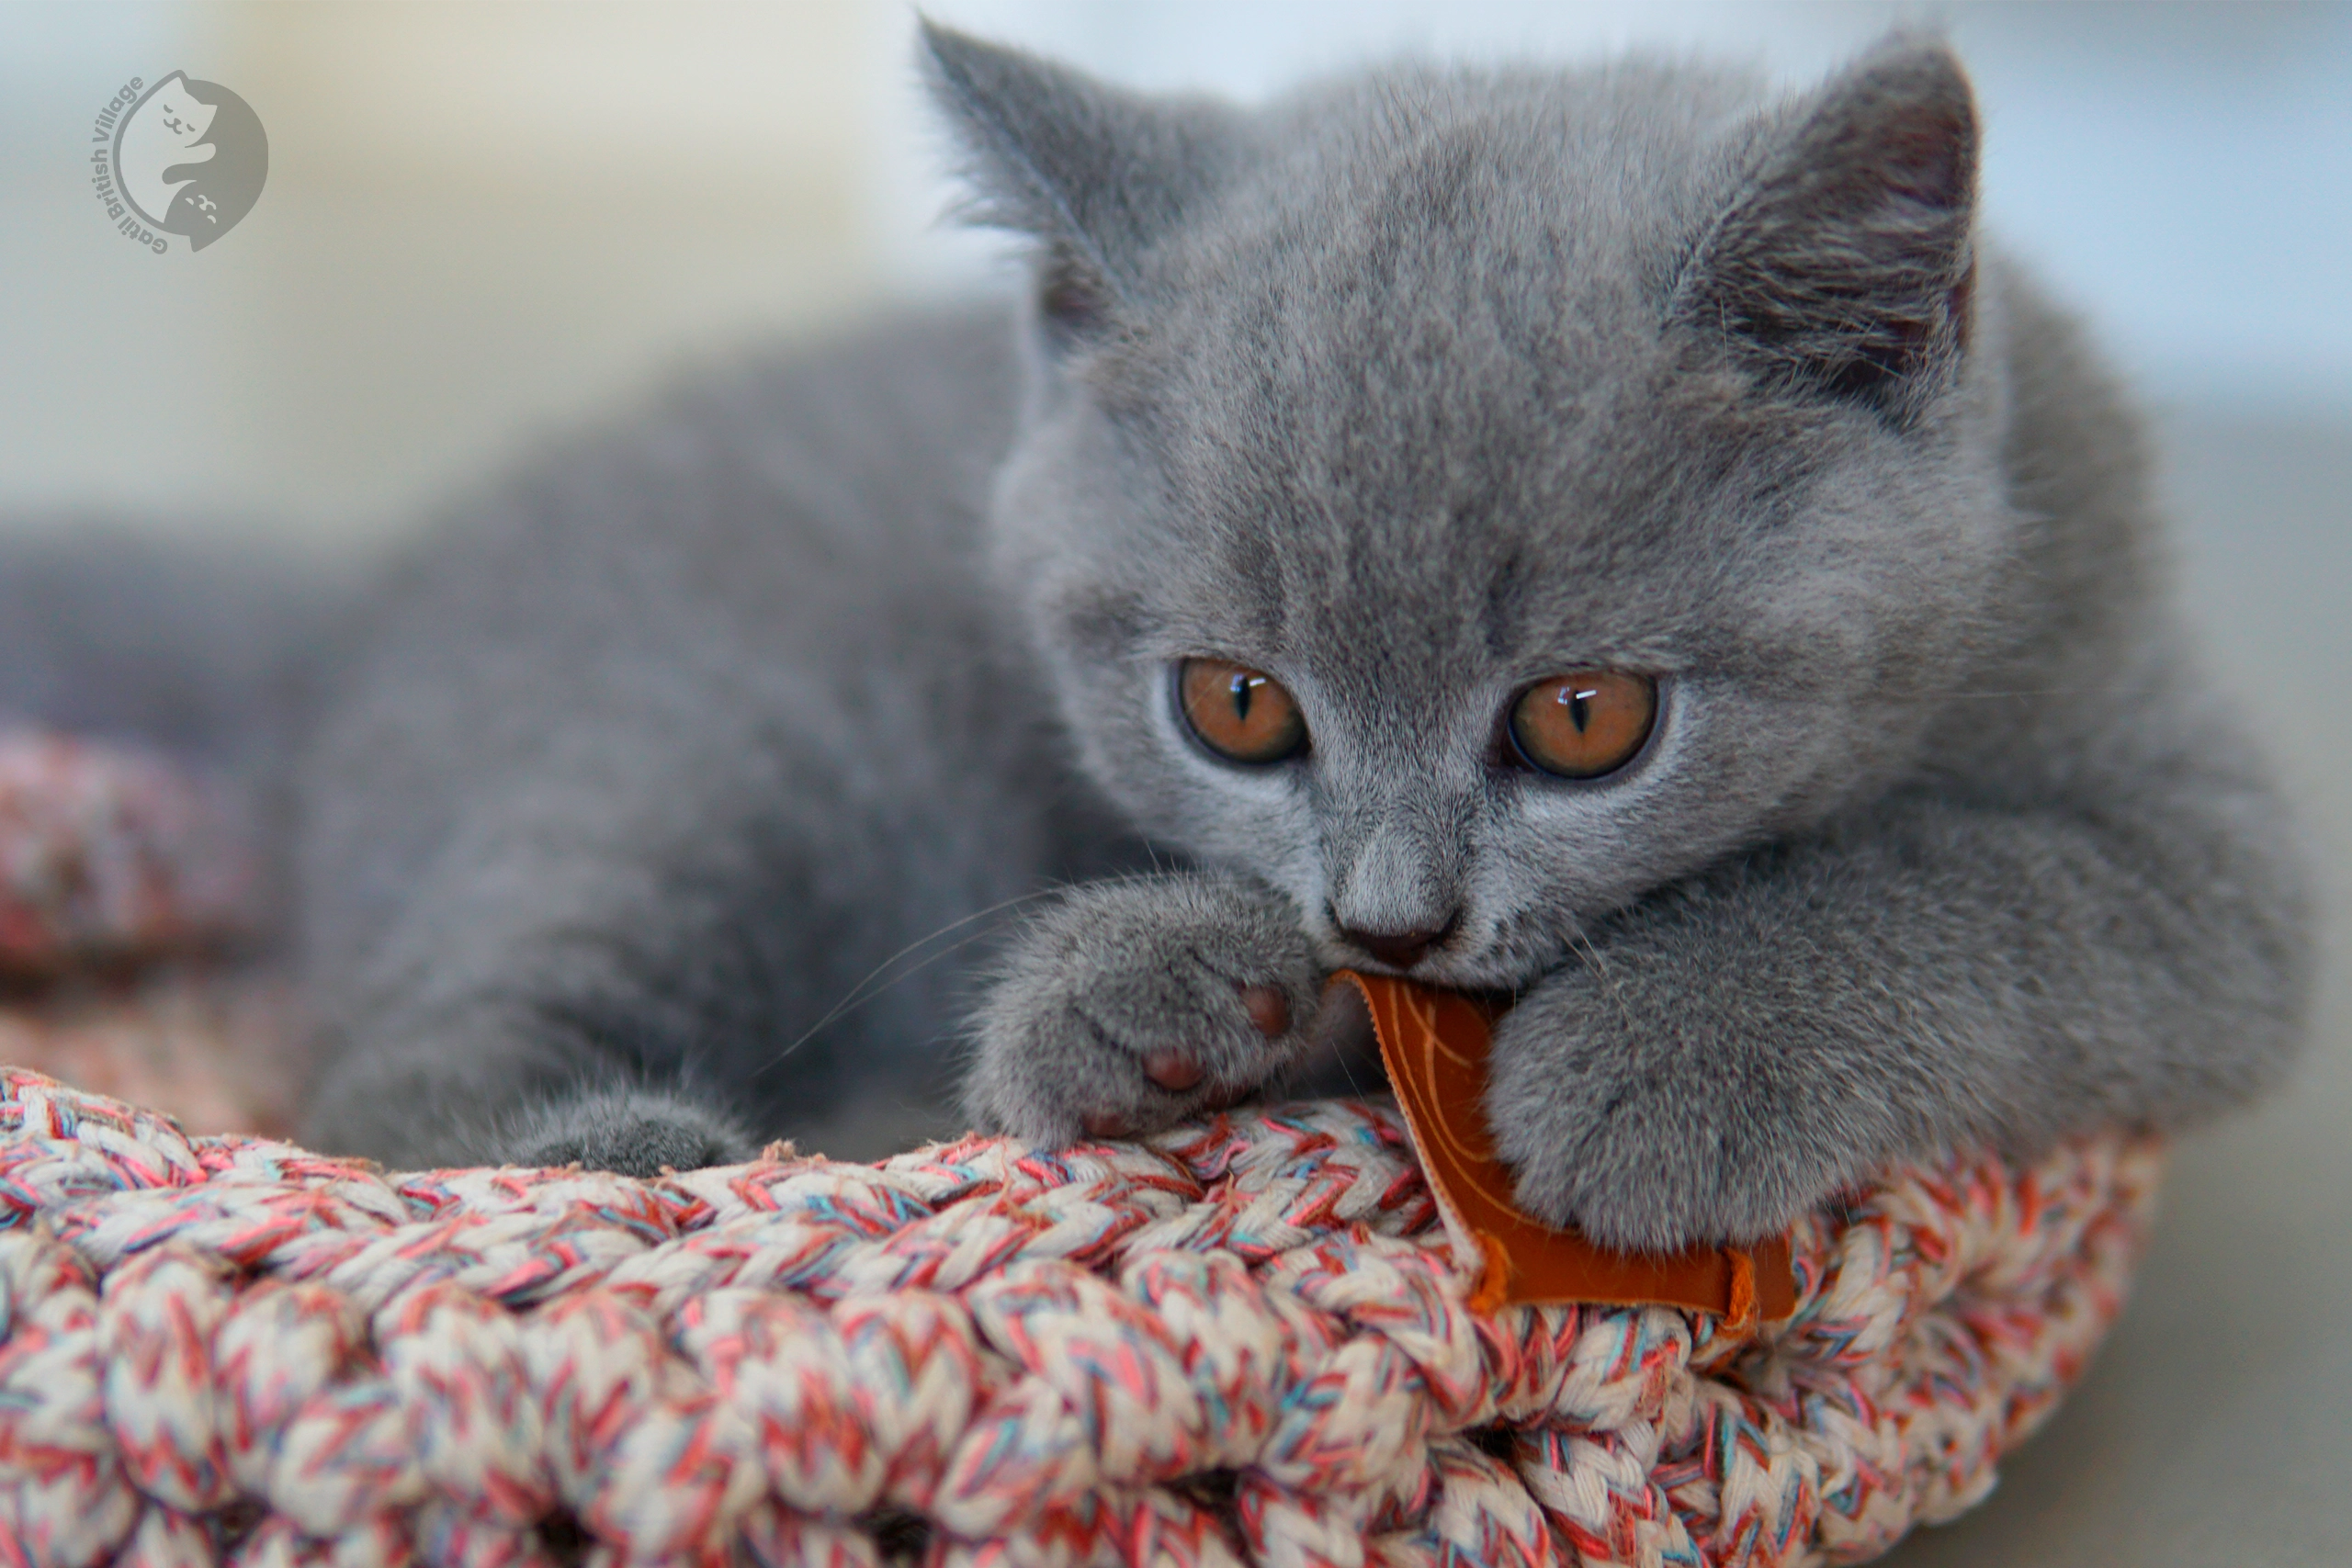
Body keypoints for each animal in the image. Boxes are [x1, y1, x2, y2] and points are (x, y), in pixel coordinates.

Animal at [279, 24, 2314, 1250]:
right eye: (1236, 703)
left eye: (1586, 718)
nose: (1388, 911)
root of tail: (364, 606)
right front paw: (1154, 993)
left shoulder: (2197, 852)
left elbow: (1957, 881)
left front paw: (1652, 1059)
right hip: (713, 744)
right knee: (365, 1082)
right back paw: (619, 1159)